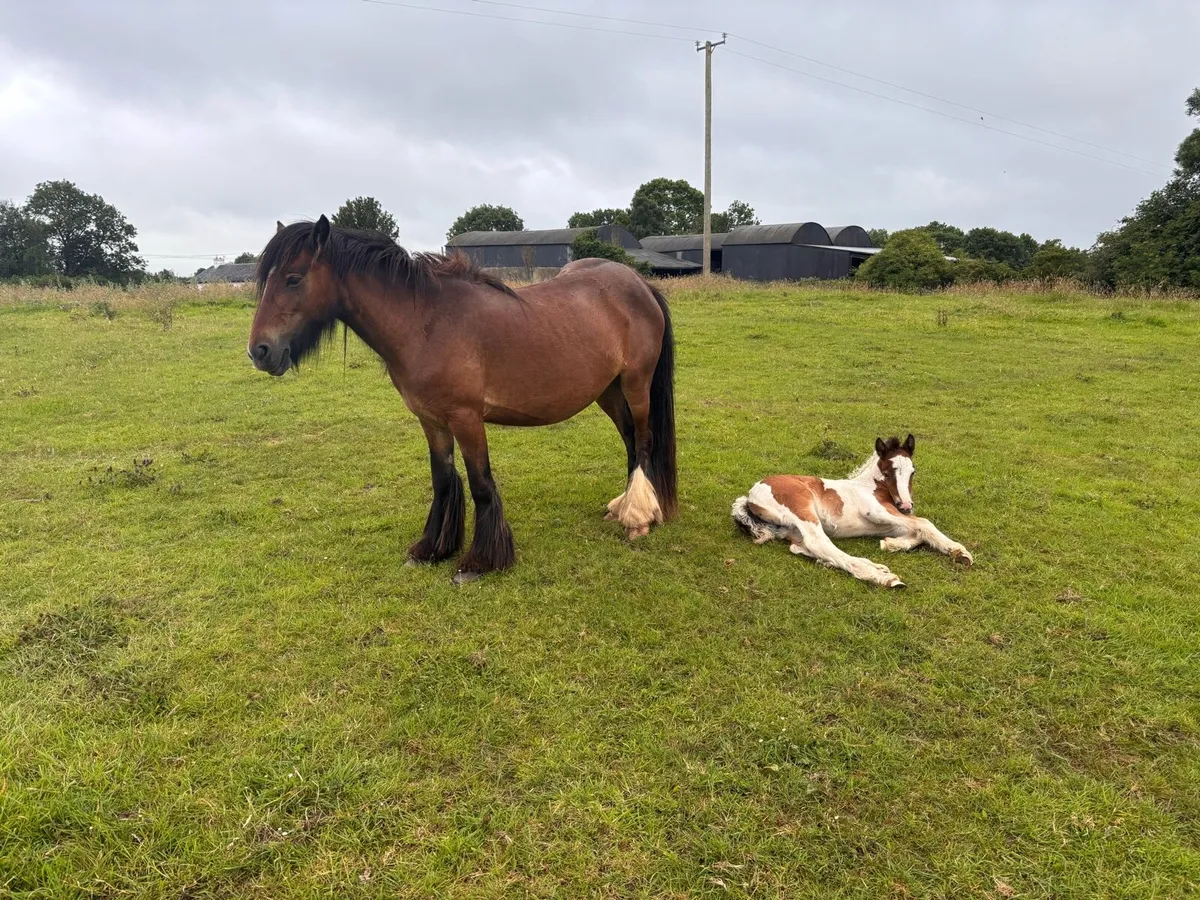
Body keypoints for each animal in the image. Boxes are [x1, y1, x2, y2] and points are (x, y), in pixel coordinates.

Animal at [246, 216, 677, 584]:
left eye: (293, 278)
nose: (260, 351)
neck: (426, 322)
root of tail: (639, 285)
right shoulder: (431, 420)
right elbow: (442, 481)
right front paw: (431, 549)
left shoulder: (467, 419)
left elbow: (480, 484)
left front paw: (479, 562)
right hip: (608, 391)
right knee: (629, 441)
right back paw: (624, 508)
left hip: (635, 386)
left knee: (643, 441)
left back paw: (639, 519)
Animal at [730, 434, 973, 588]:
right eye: (888, 471)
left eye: (913, 471)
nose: (905, 506)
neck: (871, 487)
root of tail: (750, 496)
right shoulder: (877, 512)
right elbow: (923, 523)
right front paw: (959, 551)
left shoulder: (891, 524)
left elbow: (916, 534)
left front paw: (890, 545)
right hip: (803, 510)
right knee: (819, 542)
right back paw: (882, 577)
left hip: (790, 529)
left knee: (802, 547)